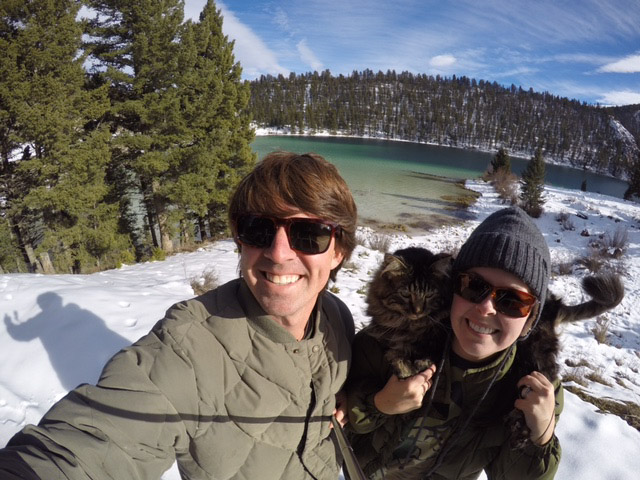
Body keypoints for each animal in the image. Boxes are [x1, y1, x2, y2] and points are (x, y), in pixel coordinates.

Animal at [362, 248, 452, 378]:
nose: (418, 311)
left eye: (429, 295)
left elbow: (427, 353)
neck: (410, 327)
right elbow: (394, 352)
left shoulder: (438, 340)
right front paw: (405, 369)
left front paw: (417, 365)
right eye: (405, 294)